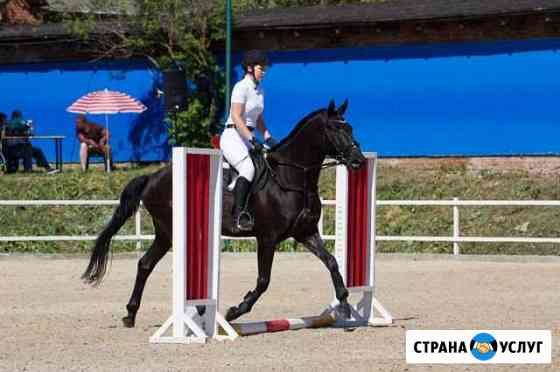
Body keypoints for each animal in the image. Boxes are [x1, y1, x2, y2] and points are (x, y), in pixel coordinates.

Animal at [82, 99, 364, 328]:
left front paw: (345, 306)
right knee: (155, 265)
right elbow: (263, 280)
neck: (290, 177)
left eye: (350, 128)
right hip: (172, 230)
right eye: (336, 129)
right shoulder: (267, 237)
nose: (358, 160)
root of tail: (153, 176)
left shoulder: (305, 232)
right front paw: (235, 310)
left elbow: (332, 262)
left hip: (164, 233)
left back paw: (132, 314)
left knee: (145, 264)